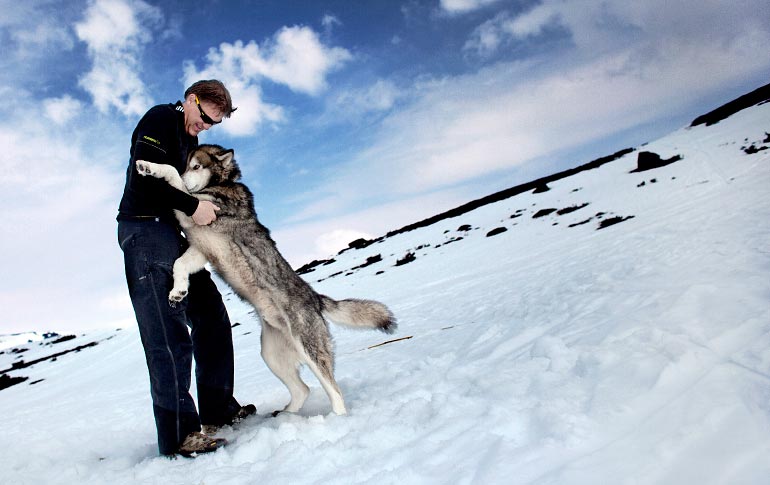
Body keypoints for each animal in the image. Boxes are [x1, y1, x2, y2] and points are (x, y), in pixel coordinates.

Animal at [134, 144, 392, 412]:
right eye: (187, 164)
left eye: (195, 166)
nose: (188, 178)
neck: (221, 185)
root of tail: (315, 298)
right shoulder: (201, 249)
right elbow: (179, 264)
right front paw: (178, 291)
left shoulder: (198, 212)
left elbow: (172, 176)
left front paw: (149, 167)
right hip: (270, 355)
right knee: (303, 389)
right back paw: (287, 415)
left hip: (308, 347)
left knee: (335, 390)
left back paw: (337, 418)